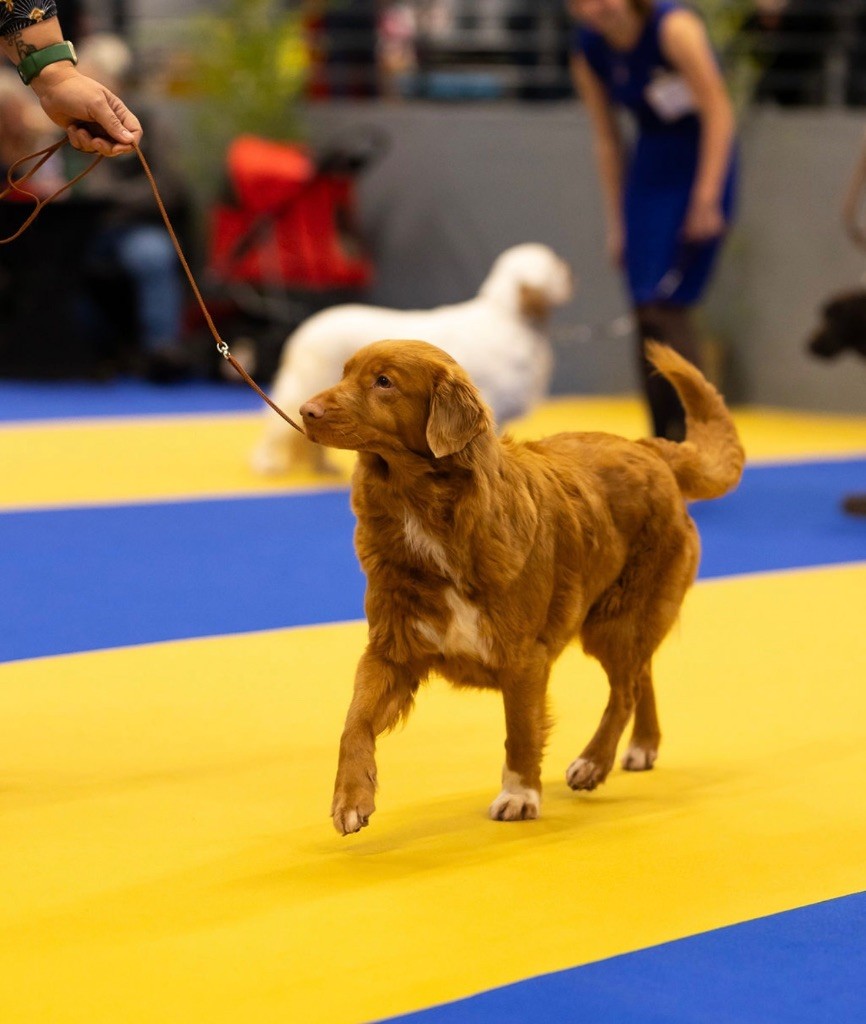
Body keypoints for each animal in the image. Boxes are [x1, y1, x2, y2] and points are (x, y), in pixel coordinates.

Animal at [250, 243, 577, 475]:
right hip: (308, 387)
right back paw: (267, 463)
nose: (568, 268)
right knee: (277, 425)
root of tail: (305, 327)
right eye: (554, 266)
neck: (511, 318)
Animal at [300, 339, 745, 835]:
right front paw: (350, 798)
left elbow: (521, 731)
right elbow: (354, 721)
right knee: (640, 675)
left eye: (384, 382)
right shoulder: (392, 649)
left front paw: (520, 795)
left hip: (616, 619)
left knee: (626, 689)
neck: (423, 511)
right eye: (343, 373)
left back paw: (594, 762)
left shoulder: (521, 656)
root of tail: (649, 449)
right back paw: (642, 746)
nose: (305, 411)